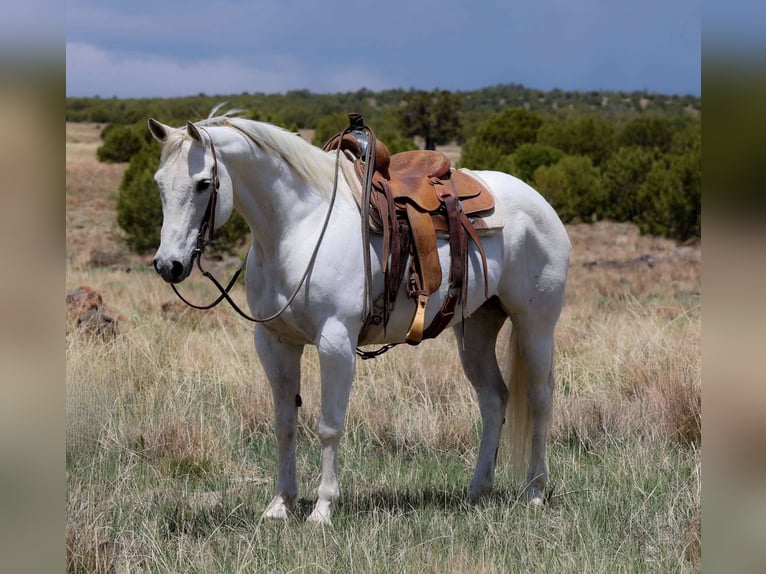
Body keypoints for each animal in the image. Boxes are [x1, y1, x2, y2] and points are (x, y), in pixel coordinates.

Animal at [147, 114, 571, 525]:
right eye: (158, 183)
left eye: (204, 183)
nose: (169, 265)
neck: (299, 226)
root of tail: (540, 203)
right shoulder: (274, 342)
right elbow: (285, 424)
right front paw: (281, 504)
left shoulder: (335, 342)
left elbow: (329, 425)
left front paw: (322, 509)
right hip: (478, 327)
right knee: (494, 398)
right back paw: (477, 491)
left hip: (535, 325)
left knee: (540, 398)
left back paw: (535, 491)